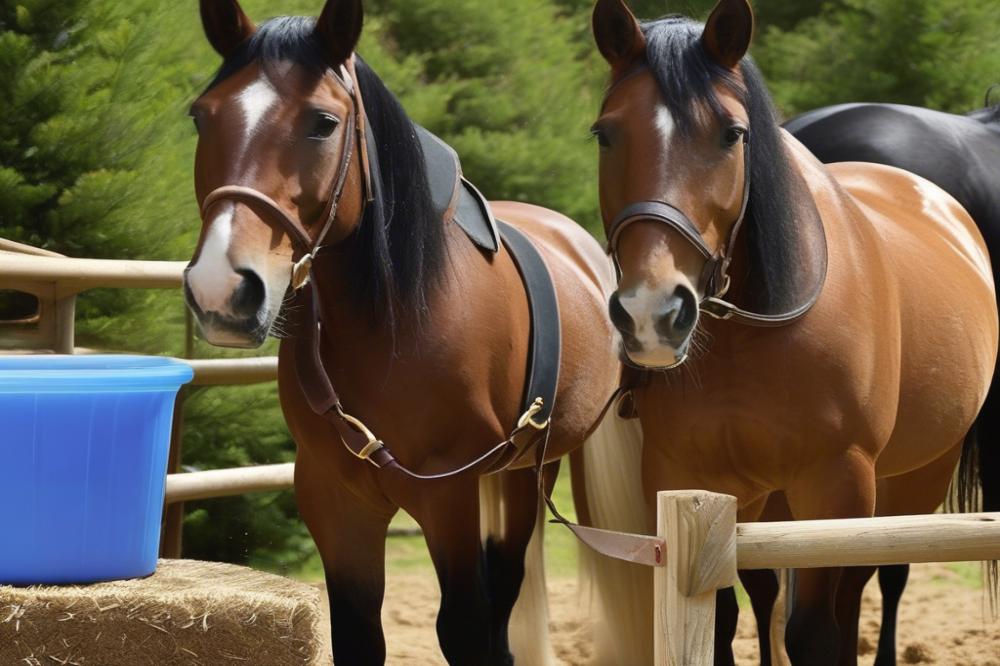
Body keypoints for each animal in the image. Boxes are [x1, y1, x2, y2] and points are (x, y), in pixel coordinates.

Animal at [182, 2, 624, 660]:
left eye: (322, 123)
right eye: (201, 116)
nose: (221, 288)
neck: (390, 324)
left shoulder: (448, 496)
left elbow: (465, 627)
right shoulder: (335, 501)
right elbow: (359, 632)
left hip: (529, 472)